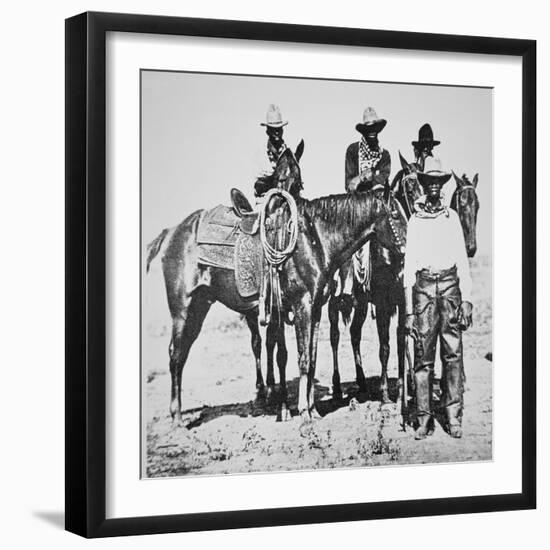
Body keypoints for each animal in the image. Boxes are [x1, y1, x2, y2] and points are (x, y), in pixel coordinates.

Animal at [147, 144, 306, 424]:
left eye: (298, 181)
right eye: (278, 179)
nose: (283, 212)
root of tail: (171, 232)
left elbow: (274, 350)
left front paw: (274, 398)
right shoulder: (276, 309)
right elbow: (281, 354)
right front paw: (283, 406)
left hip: (199, 308)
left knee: (182, 352)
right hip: (181, 310)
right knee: (175, 353)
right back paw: (176, 416)